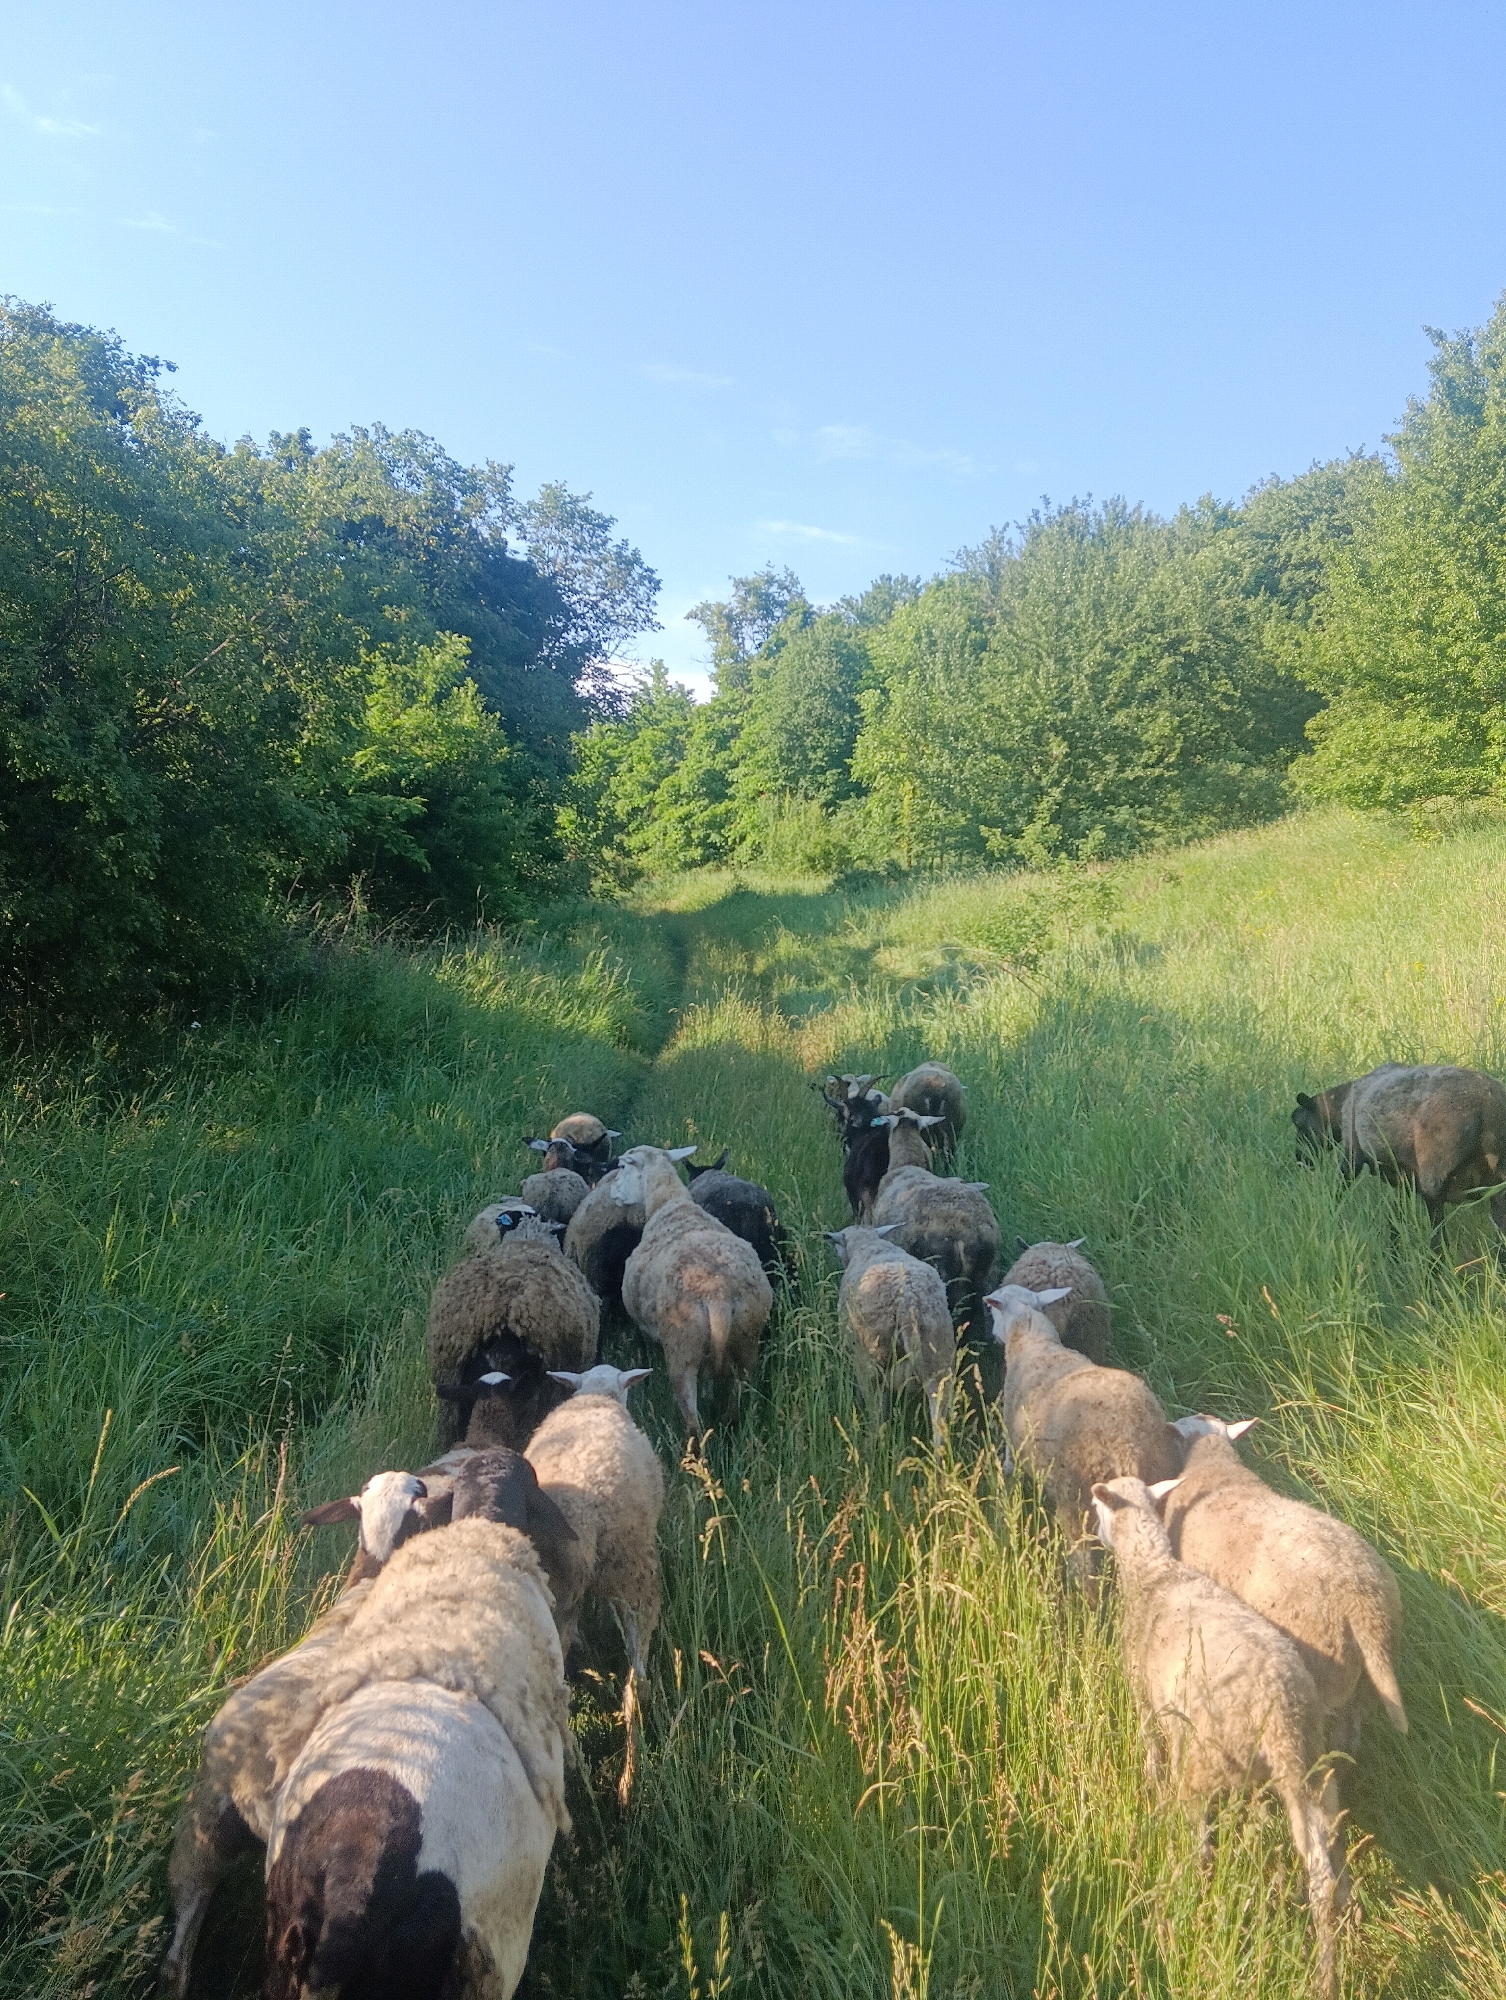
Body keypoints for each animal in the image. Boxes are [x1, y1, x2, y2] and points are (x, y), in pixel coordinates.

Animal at [618, 1145, 773, 1437]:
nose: (614, 1194)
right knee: (738, 1394)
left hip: (682, 1345)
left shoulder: (643, 1328)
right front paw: (709, 1394)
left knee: (692, 1421)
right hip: (746, 1337)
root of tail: (718, 1293)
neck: (668, 1203)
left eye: (621, 1167)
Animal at [825, 1224, 956, 1442]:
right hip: (938, 1358)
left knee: (877, 1412)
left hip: (871, 1358)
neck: (868, 1244)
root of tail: (908, 1301)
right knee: (939, 1415)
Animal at [986, 1283, 1181, 1576]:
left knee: (1083, 1560)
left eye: (993, 1310)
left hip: (1076, 1497)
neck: (1033, 1341)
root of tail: (1126, 1444)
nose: (993, 1335)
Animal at [1092, 1476, 1345, 1999]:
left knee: (1202, 1845)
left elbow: (1149, 1749)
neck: (1154, 1574)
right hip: (1311, 1774)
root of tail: (1280, 1712)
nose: (1093, 1532)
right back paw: (1326, 1971)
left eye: (1095, 1505)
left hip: (1202, 1765)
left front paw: (1150, 1784)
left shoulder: (1142, 1694)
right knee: (1320, 1871)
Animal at [1293, 1061, 1506, 1251]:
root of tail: (1489, 1110)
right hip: (1498, 1187)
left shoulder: (1352, 1154)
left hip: (1434, 1178)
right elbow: (1396, 1216)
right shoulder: (1405, 1179)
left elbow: (1339, 1188)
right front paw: (1393, 1251)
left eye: (1299, 1124)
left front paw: (1330, 1213)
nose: (1300, 1160)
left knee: (1438, 1239)